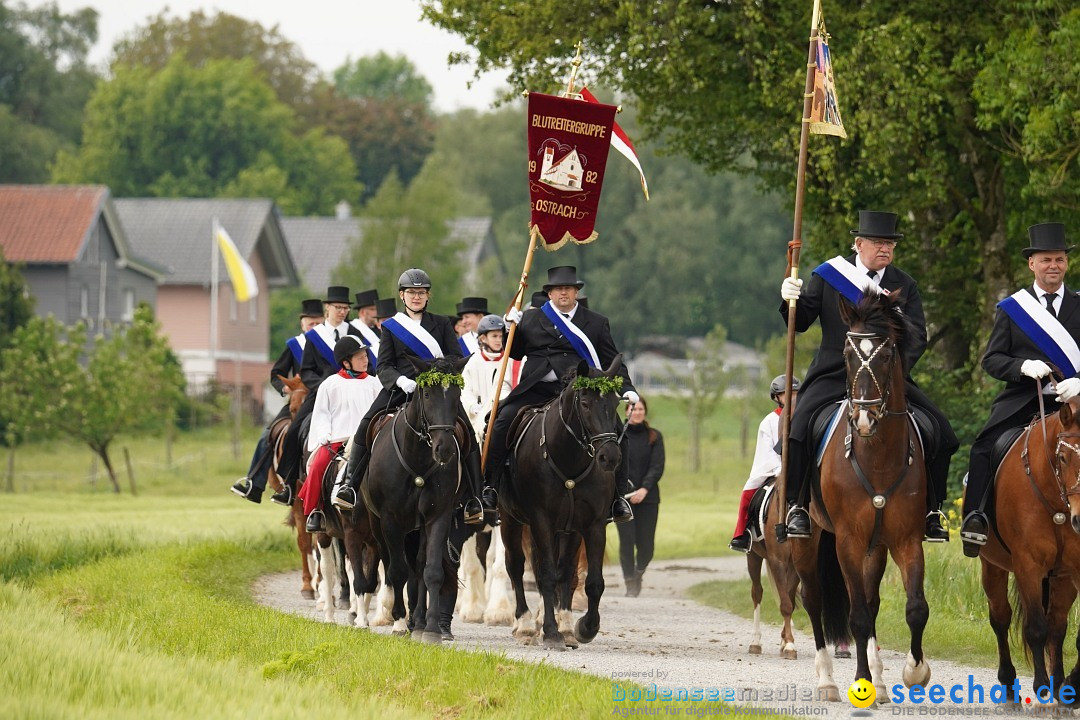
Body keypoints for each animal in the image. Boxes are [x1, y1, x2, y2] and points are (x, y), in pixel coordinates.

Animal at [360, 354, 470, 643]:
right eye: (428, 393)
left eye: (457, 394)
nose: (444, 449)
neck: (419, 458)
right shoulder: (390, 521)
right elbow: (397, 571)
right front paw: (399, 622)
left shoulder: (438, 516)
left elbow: (431, 571)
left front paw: (430, 629)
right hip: (378, 525)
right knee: (391, 564)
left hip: (418, 528)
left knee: (419, 566)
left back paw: (418, 621)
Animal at [498, 358, 626, 651]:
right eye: (586, 403)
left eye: (616, 403)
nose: (610, 457)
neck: (570, 458)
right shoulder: (540, 520)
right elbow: (546, 574)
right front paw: (551, 632)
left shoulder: (591, 525)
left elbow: (589, 580)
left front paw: (583, 628)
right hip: (511, 519)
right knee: (516, 566)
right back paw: (524, 625)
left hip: (565, 530)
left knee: (562, 571)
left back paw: (562, 625)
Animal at [790, 293, 933, 703]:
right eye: (846, 354)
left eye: (886, 355)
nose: (864, 419)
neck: (877, 455)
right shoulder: (849, 541)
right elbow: (855, 616)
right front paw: (860, 680)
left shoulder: (905, 540)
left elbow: (915, 608)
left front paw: (914, 671)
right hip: (809, 541)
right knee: (813, 598)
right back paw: (826, 680)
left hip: (876, 548)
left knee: (871, 602)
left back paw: (880, 682)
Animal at [980, 397, 1080, 699]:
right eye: (1063, 457)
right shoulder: (1028, 565)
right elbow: (1035, 629)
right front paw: (1041, 687)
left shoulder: (1076, 568)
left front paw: (1070, 687)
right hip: (993, 566)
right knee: (1001, 619)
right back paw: (1010, 685)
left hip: (1061, 578)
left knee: (1057, 625)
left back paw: (1060, 686)